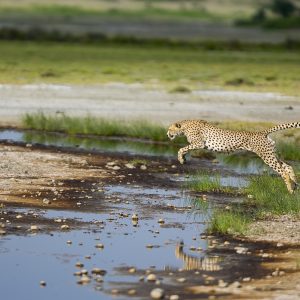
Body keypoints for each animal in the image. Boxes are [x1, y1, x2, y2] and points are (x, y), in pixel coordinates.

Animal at [168, 120, 298, 193]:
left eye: (170, 129)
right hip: (272, 154)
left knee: (283, 172)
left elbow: (181, 149)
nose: (167, 134)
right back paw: (295, 183)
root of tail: (261, 132)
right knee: (288, 166)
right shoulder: (197, 144)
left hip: (267, 156)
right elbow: (185, 149)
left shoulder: (199, 143)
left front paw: (181, 159)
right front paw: (183, 159)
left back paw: (290, 189)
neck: (184, 126)